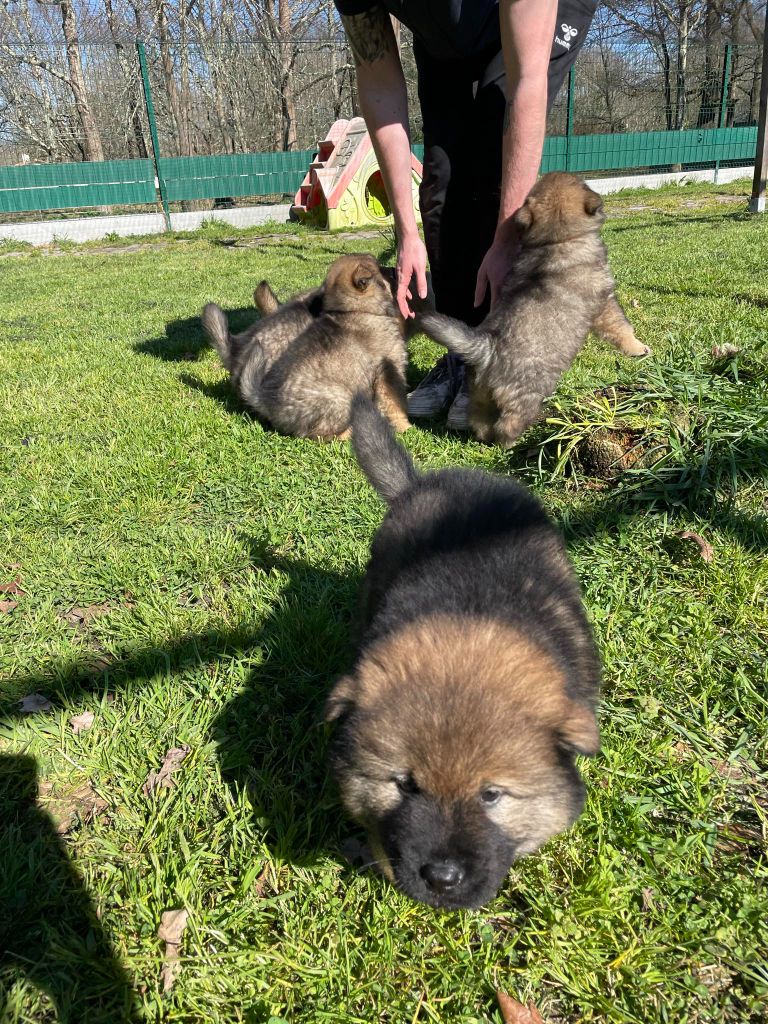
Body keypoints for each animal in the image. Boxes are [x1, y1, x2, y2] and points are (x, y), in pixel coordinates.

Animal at [202, 253, 409, 438]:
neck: (353, 310)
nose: (395, 270)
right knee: (319, 434)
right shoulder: (390, 368)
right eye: (382, 271)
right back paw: (351, 433)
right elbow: (396, 404)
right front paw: (406, 428)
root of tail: (266, 401)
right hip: (341, 398)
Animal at [415, 172, 651, 448]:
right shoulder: (605, 303)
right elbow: (622, 327)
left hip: (479, 393)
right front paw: (638, 348)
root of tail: (487, 348)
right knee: (508, 423)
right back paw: (514, 441)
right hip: (527, 394)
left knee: (480, 419)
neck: (556, 240)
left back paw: (484, 436)